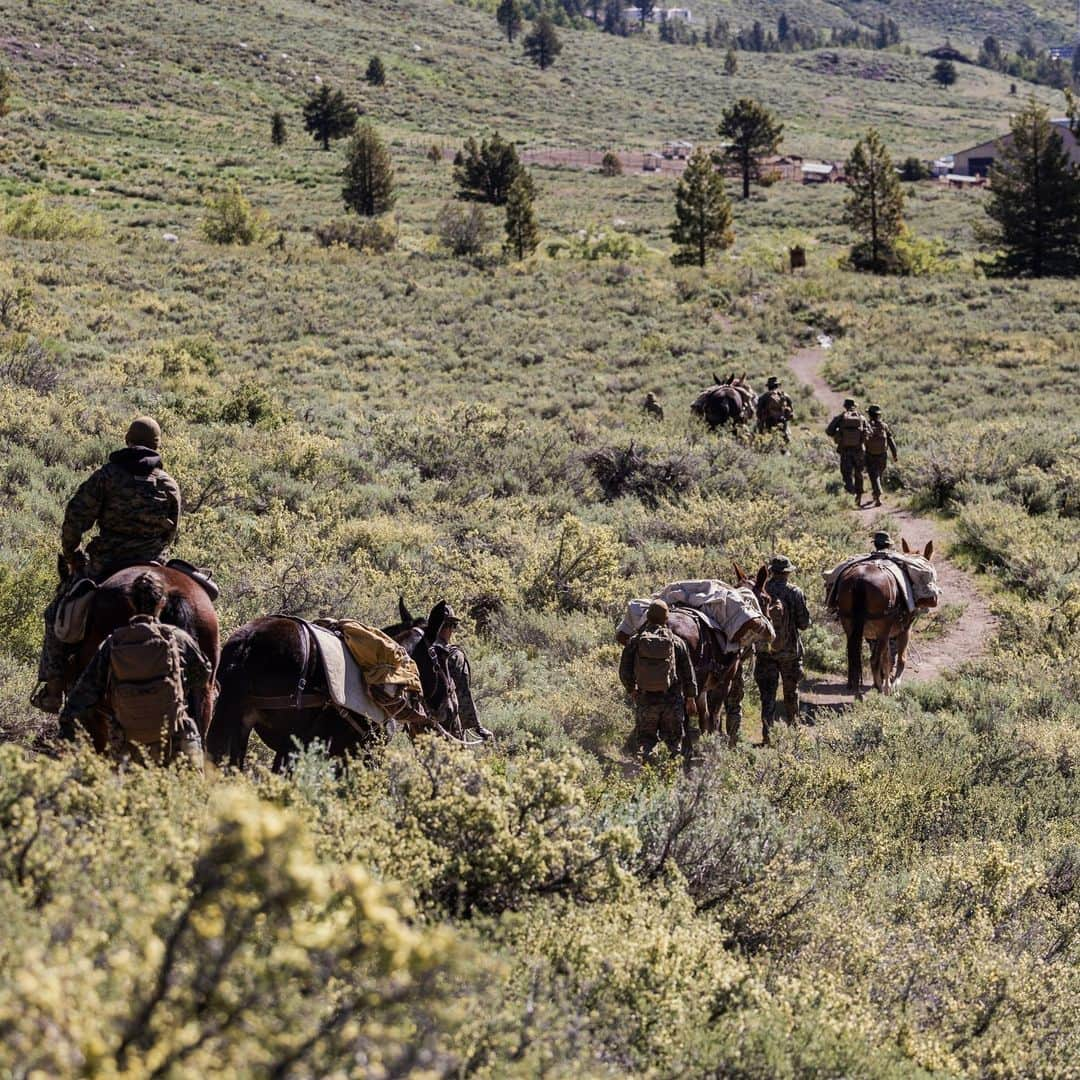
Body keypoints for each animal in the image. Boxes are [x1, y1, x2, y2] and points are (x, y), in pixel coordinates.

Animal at [829, 540, 933, 699]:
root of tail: (860, 579)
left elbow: (887, 658)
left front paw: (888, 684)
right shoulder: (904, 630)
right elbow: (899, 659)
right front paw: (893, 687)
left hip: (849, 625)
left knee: (853, 656)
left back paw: (855, 686)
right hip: (882, 630)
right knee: (874, 659)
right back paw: (879, 687)